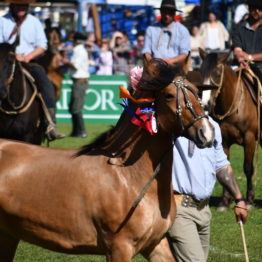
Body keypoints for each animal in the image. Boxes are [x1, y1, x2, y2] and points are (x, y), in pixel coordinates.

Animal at [0, 54, 215, 260]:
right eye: (169, 95)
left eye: (197, 92)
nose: (207, 133)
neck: (127, 176)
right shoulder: (119, 247)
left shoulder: (156, 245)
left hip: (9, 235)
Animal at [200, 48, 258, 209]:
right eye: (201, 71)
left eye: (217, 73)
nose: (205, 103)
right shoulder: (224, 141)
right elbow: (225, 165)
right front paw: (225, 201)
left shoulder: (250, 138)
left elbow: (248, 168)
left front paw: (249, 200)